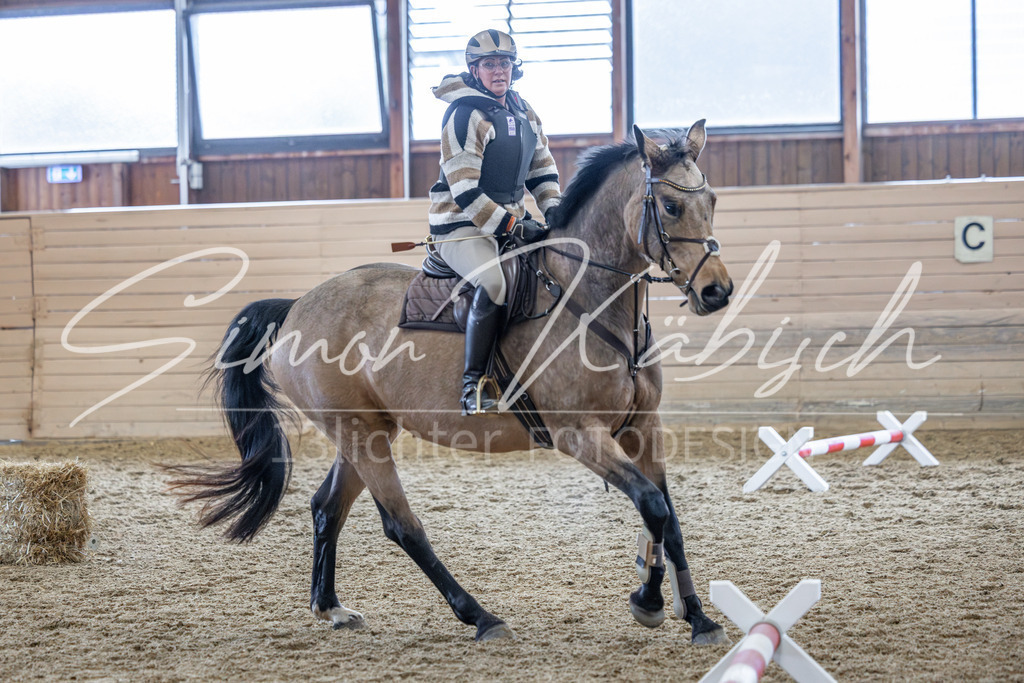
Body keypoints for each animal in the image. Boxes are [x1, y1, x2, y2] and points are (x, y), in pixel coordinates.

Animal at [171, 121, 734, 645]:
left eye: (710, 201)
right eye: (669, 206)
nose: (717, 291)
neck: (588, 298)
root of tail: (295, 308)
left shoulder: (643, 426)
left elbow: (669, 518)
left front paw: (698, 617)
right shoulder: (578, 433)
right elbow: (652, 504)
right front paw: (649, 601)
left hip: (366, 431)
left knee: (326, 507)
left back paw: (330, 606)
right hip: (360, 434)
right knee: (402, 526)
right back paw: (480, 616)